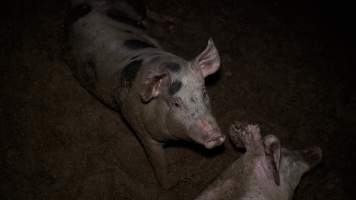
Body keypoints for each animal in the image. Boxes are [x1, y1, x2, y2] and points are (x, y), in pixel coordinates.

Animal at [66, 0, 225, 188]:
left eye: (204, 93)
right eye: (175, 103)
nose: (214, 134)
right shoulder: (138, 125)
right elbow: (158, 162)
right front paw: (169, 185)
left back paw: (172, 23)